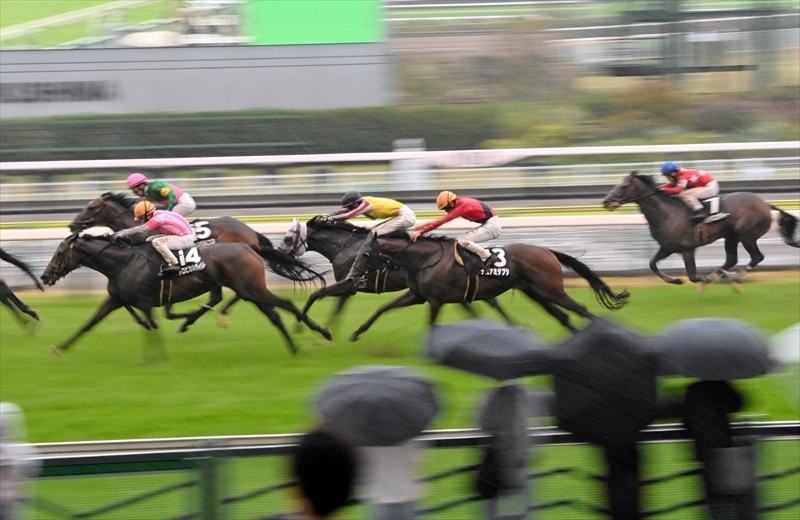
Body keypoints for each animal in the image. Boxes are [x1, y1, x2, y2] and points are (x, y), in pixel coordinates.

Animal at [39, 235, 332, 354]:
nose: (44, 277)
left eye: (60, 252)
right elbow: (89, 323)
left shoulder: (145, 302)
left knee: (285, 304)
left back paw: (321, 332)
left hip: (252, 289)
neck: (123, 262)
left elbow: (152, 327)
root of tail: (250, 246)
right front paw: (60, 348)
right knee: (275, 315)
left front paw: (157, 357)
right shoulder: (116, 299)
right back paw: (294, 347)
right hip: (250, 292)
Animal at [278, 217, 520, 328]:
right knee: (478, 305)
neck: (345, 246)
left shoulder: (348, 285)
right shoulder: (350, 284)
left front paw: (307, 327)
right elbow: (333, 307)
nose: (279, 253)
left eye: (288, 238)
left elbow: (319, 297)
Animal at [302, 223, 632, 342]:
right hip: (537, 293)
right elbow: (382, 309)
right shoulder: (417, 295)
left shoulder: (435, 300)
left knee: (581, 310)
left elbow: (432, 325)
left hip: (550, 289)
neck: (424, 259)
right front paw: (354, 333)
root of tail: (548, 251)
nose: (353, 275)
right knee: (563, 316)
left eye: (366, 252)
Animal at [604, 174, 796, 288]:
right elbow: (652, 264)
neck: (666, 213)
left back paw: (736, 276)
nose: (606, 201)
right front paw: (675, 280)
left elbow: (693, 275)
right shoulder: (667, 246)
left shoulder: (687, 248)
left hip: (747, 235)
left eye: (622, 187)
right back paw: (721, 274)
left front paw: (703, 279)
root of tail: (765, 204)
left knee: (757, 257)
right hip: (731, 236)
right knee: (732, 259)